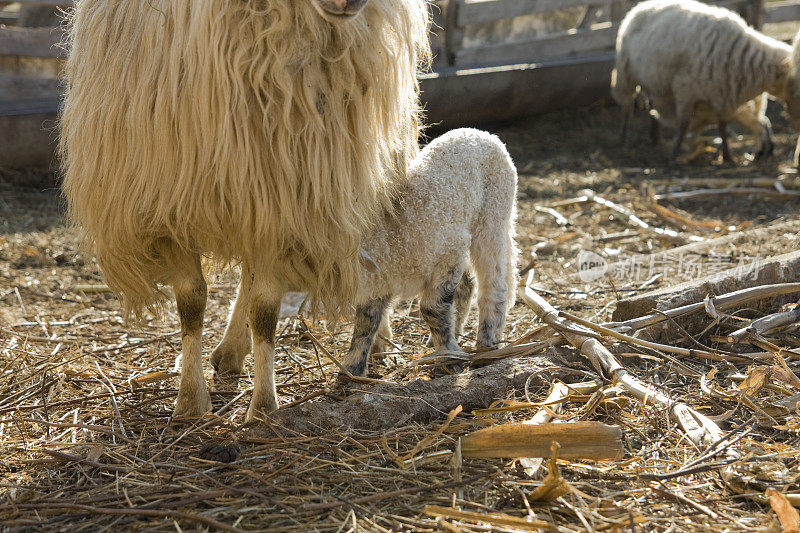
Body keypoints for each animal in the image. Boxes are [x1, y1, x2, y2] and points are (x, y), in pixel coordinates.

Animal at [61, 1, 432, 424]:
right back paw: (230, 353)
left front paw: (264, 407)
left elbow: (265, 309)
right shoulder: (166, 209)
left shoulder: (283, 210)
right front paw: (190, 402)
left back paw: (379, 338)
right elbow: (192, 302)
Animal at [338, 128, 520, 378]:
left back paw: (486, 346)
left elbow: (431, 308)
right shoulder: (379, 282)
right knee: (467, 286)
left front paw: (450, 358)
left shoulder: (449, 251)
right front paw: (352, 369)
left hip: (493, 213)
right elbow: (366, 321)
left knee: (495, 285)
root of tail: (485, 134)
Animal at [612, 0, 800, 162]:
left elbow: (722, 126)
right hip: (626, 73)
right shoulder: (685, 88)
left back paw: (655, 137)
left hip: (655, 81)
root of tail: (640, 5)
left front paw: (727, 157)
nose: (795, 123)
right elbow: (684, 124)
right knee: (627, 107)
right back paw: (623, 139)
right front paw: (675, 154)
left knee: (651, 105)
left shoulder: (722, 95)